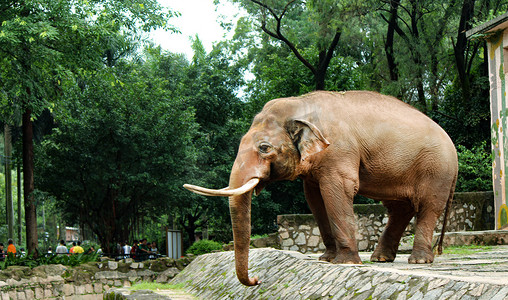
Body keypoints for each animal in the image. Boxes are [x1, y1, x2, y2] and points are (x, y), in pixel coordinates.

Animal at [183, 91, 456, 286]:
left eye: (264, 148)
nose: (256, 279)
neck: (300, 105)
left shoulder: (339, 150)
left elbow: (338, 188)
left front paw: (346, 263)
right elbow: (314, 198)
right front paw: (327, 260)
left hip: (437, 169)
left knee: (428, 206)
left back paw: (418, 260)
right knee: (399, 208)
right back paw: (381, 258)